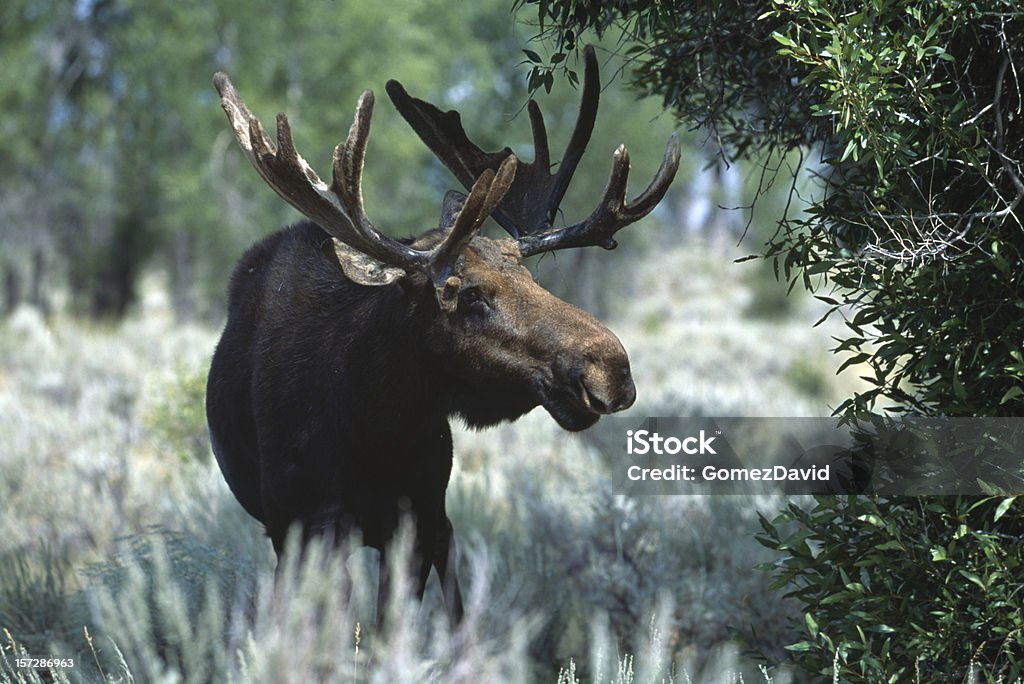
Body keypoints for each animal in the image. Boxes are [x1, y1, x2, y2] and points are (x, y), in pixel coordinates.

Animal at [204, 46, 679, 626]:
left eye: (530, 276)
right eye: (468, 293)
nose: (612, 369)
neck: (372, 419)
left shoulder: (419, 519)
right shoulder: (303, 526)